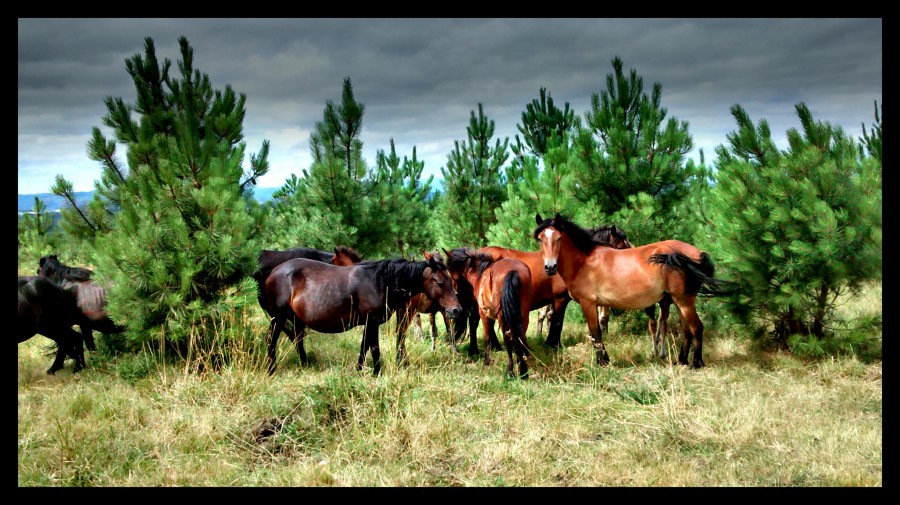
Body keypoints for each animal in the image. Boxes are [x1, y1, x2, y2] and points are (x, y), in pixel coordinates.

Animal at [258, 254, 458, 376]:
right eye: (440, 282)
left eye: (450, 280)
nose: (456, 310)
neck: (381, 281)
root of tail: (272, 272)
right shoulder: (372, 322)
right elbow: (374, 348)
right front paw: (377, 373)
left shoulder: (368, 323)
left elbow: (364, 347)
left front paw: (359, 370)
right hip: (279, 318)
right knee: (271, 340)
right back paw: (271, 370)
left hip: (295, 319)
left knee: (298, 340)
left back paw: (304, 364)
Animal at [444, 248, 536, 378]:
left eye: (450, 271)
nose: (455, 290)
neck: (481, 274)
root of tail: (513, 271)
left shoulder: (484, 313)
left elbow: (487, 336)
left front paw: (486, 361)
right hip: (522, 314)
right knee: (520, 336)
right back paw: (523, 370)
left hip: (503, 317)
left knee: (508, 339)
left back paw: (511, 371)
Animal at [532, 211, 736, 368]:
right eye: (540, 239)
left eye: (559, 238)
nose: (550, 267)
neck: (584, 261)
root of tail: (696, 253)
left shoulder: (588, 303)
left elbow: (595, 332)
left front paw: (602, 362)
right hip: (679, 301)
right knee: (686, 330)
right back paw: (682, 360)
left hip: (684, 300)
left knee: (696, 327)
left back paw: (696, 363)